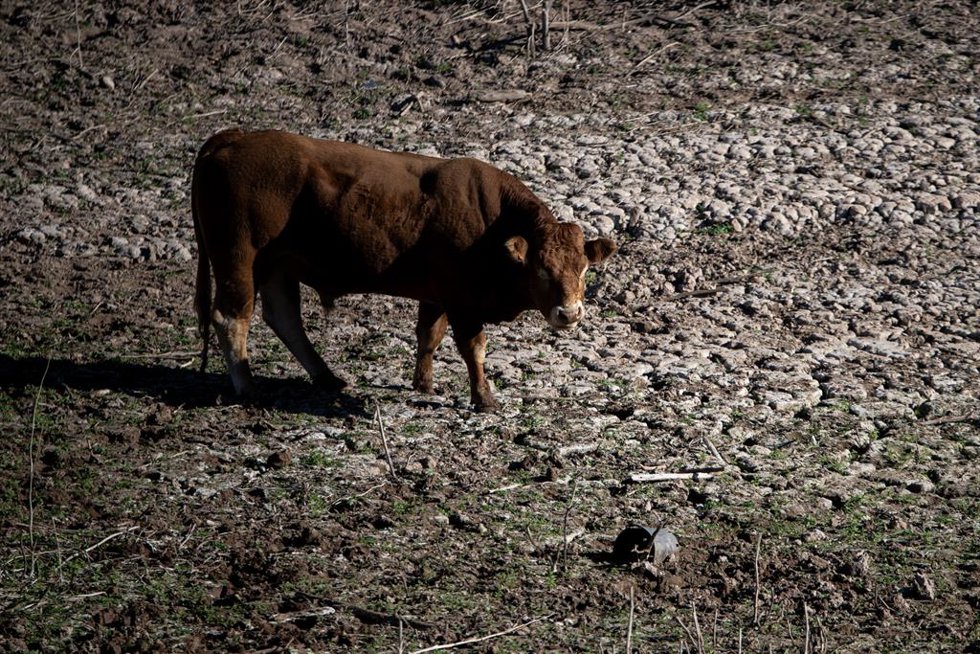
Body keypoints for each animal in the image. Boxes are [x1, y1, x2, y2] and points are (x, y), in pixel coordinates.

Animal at [192, 129, 616, 411]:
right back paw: (248, 387)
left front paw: (424, 384)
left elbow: (428, 336)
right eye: (541, 269)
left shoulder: (436, 294)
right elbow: (473, 348)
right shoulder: (462, 302)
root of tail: (231, 138)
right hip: (239, 257)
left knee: (284, 318)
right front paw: (484, 398)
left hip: (277, 265)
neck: (490, 222)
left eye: (582, 270)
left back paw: (327, 377)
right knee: (231, 317)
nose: (569, 313)